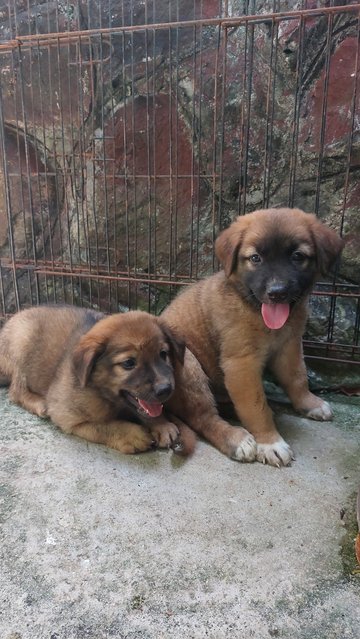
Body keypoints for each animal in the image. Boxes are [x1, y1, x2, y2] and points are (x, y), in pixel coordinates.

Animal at [0, 308, 194, 458]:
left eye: (163, 354)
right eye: (129, 363)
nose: (166, 389)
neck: (104, 394)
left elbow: (147, 410)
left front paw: (161, 424)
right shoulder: (67, 416)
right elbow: (104, 426)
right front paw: (132, 434)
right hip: (21, 345)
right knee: (15, 391)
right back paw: (38, 403)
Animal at [162, 208, 344, 468]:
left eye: (297, 256)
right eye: (255, 258)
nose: (277, 293)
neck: (255, 310)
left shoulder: (290, 347)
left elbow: (298, 378)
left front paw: (309, 403)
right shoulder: (242, 364)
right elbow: (256, 406)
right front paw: (270, 442)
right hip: (190, 367)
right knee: (203, 418)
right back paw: (235, 438)